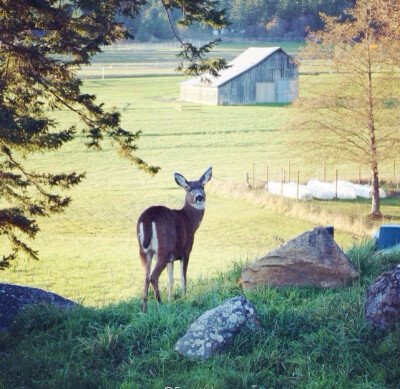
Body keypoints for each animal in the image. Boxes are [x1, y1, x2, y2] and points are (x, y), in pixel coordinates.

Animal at [138, 165, 212, 310]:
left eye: (203, 186)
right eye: (189, 189)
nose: (199, 197)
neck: (189, 220)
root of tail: (147, 218)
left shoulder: (171, 259)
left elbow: (170, 280)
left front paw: (170, 301)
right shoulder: (186, 251)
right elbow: (183, 278)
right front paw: (184, 299)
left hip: (143, 250)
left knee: (145, 277)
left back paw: (144, 310)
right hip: (164, 247)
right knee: (153, 276)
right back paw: (159, 305)